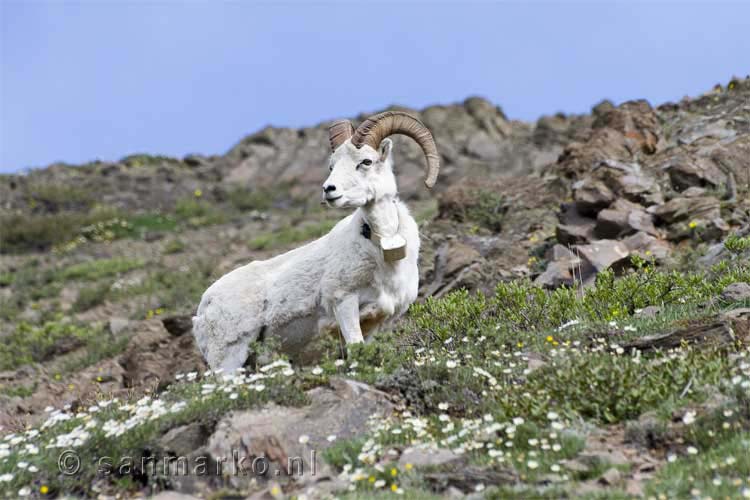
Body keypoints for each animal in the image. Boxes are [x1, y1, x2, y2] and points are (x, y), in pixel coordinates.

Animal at [194, 113, 440, 372]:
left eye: (366, 161)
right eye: (332, 165)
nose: (329, 190)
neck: (383, 252)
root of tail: (203, 308)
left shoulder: (376, 322)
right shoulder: (344, 303)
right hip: (229, 359)